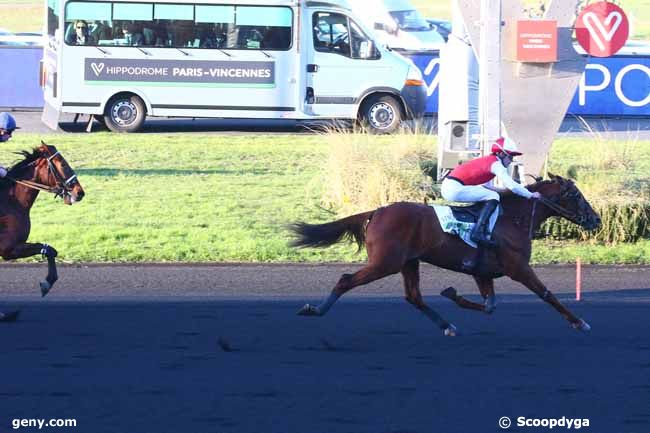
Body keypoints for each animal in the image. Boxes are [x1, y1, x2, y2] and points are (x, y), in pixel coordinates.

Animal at [0, 142, 84, 320]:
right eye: (63, 164)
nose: (80, 192)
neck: (10, 201)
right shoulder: (8, 248)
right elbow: (49, 250)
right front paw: (46, 283)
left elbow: (50, 249)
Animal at [288, 174, 596, 336]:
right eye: (577, 195)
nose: (596, 219)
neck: (512, 218)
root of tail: (377, 211)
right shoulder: (518, 268)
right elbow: (547, 294)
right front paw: (579, 321)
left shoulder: (482, 272)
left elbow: (489, 305)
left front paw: (451, 293)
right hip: (386, 263)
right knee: (345, 279)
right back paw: (315, 309)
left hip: (408, 262)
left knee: (413, 296)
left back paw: (447, 325)